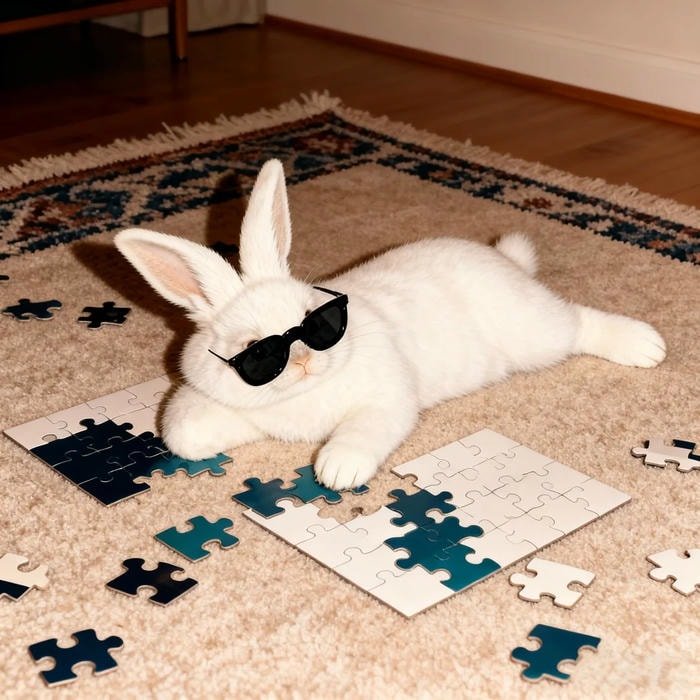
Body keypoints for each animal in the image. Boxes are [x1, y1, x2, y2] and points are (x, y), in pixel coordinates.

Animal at [114, 159, 666, 490]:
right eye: (257, 350)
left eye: (312, 320)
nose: (305, 360)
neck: (306, 394)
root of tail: (507, 264)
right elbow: (184, 434)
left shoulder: (385, 401)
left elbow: (365, 430)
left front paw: (337, 470)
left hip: (534, 332)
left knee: (578, 324)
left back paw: (645, 346)